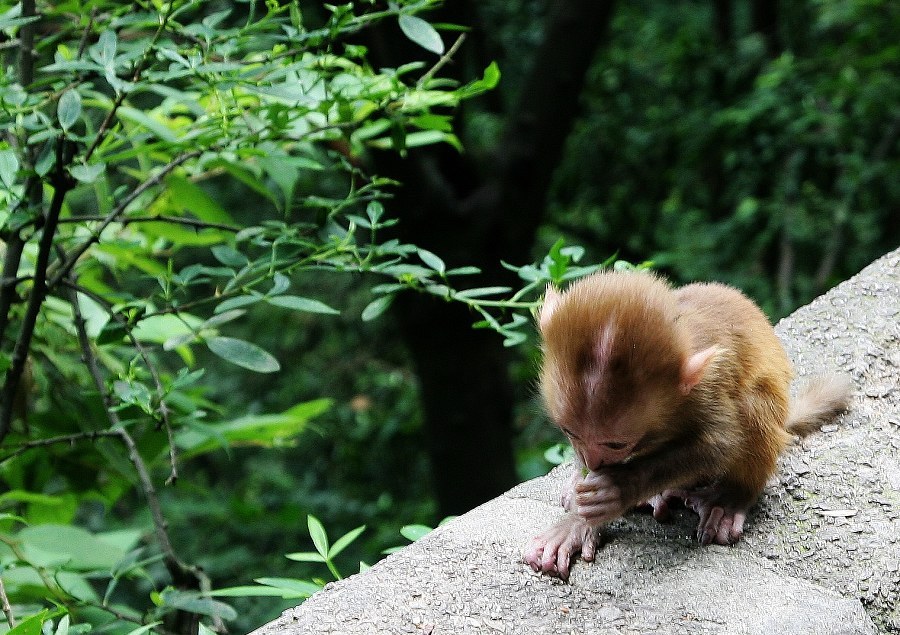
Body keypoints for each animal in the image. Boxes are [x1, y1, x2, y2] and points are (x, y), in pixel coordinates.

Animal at [524, 270, 848, 580]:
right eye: (570, 433)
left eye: (617, 444)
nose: (593, 460)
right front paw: (578, 521)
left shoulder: (707, 388)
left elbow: (722, 443)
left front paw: (619, 488)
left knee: (753, 403)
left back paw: (731, 497)